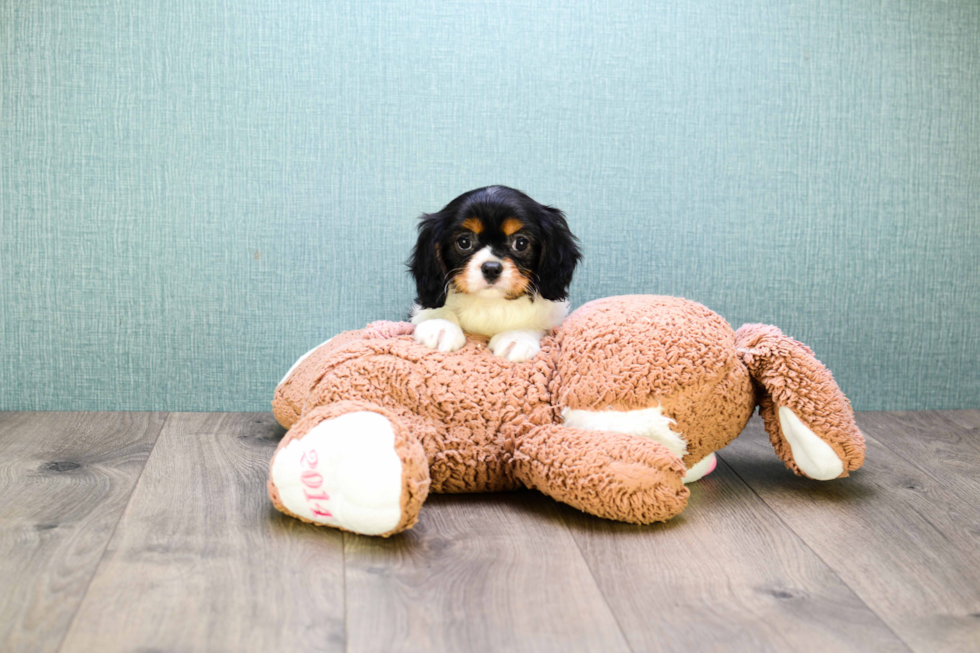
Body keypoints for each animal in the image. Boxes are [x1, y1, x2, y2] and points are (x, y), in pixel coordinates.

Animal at [408, 186, 580, 362]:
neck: (490, 303)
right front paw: (440, 326)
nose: (491, 268)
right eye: (464, 242)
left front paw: (517, 338)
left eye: (521, 243)